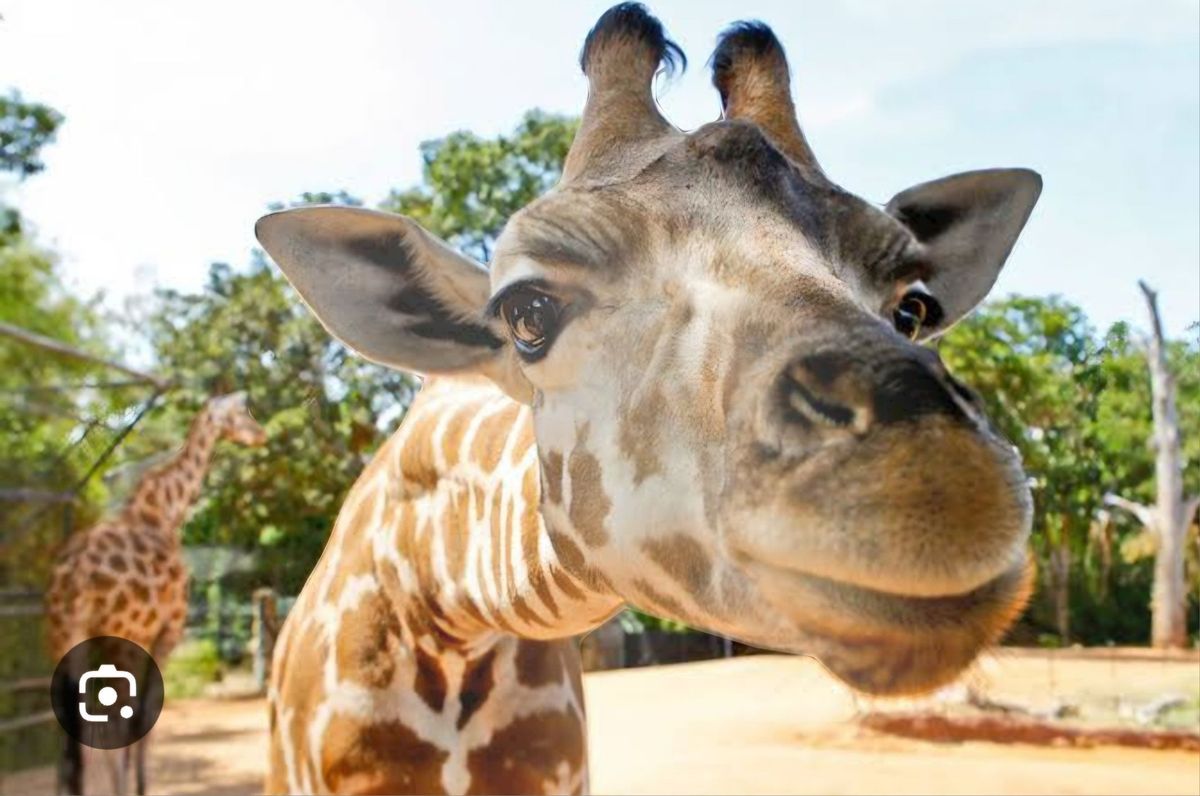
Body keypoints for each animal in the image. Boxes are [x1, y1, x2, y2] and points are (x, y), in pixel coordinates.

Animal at [46, 388, 265, 792]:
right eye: (243, 410)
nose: (260, 434)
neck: (167, 510)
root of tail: (72, 578)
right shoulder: (167, 631)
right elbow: (142, 716)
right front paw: (141, 788)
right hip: (117, 637)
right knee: (108, 722)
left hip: (66, 638)